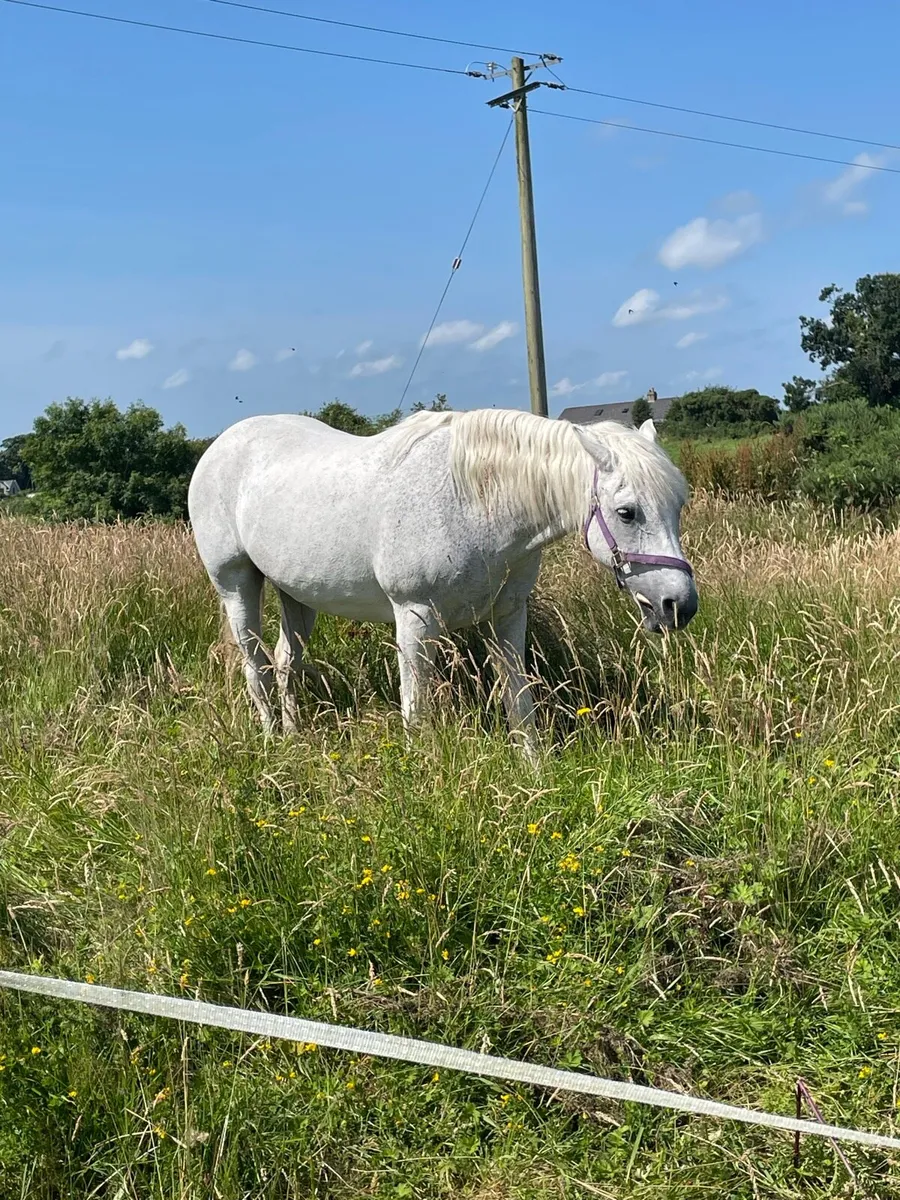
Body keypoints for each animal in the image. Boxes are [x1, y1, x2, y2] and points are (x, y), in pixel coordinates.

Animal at [187, 407, 697, 753]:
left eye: (679, 505)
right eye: (627, 512)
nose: (679, 605)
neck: (473, 501)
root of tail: (218, 446)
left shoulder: (506, 616)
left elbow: (519, 702)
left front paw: (534, 770)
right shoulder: (414, 618)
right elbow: (416, 710)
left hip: (297, 596)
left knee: (285, 662)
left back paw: (295, 735)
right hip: (235, 584)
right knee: (254, 665)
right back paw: (273, 738)